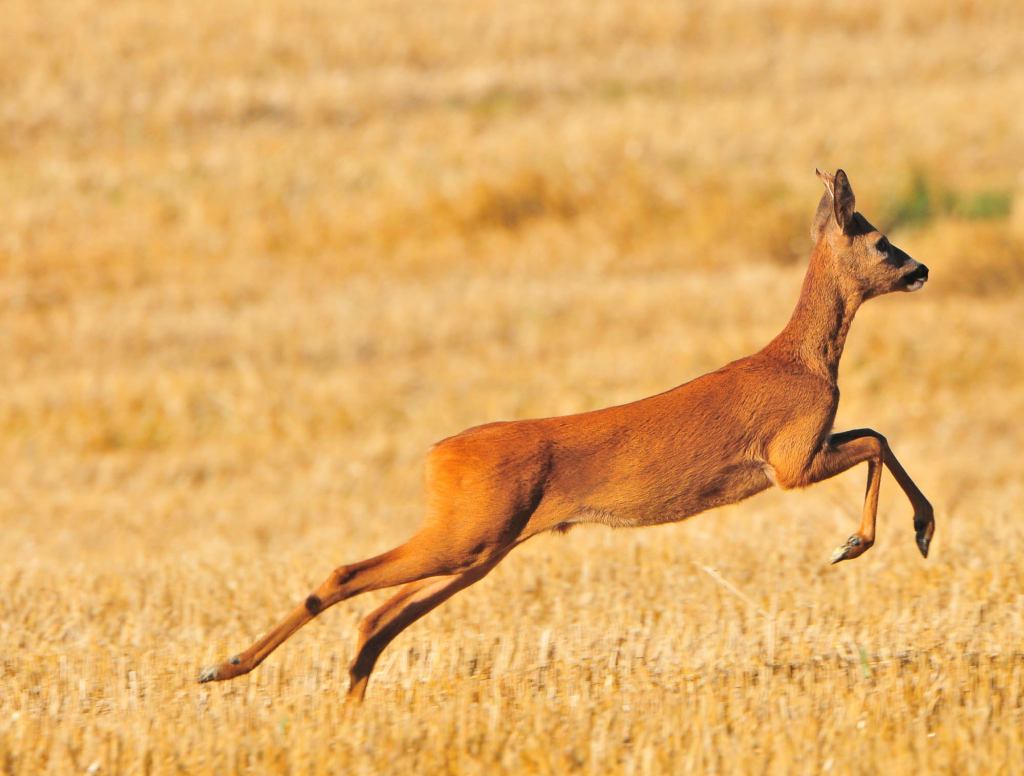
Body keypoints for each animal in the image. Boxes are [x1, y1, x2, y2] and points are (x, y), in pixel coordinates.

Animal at [197, 168, 937, 700]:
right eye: (880, 241)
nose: (921, 270)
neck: (806, 360)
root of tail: (438, 455)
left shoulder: (806, 450)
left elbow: (876, 432)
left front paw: (905, 534)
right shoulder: (789, 458)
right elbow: (877, 440)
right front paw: (870, 540)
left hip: (482, 543)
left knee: (380, 616)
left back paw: (345, 699)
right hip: (470, 530)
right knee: (347, 576)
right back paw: (224, 667)